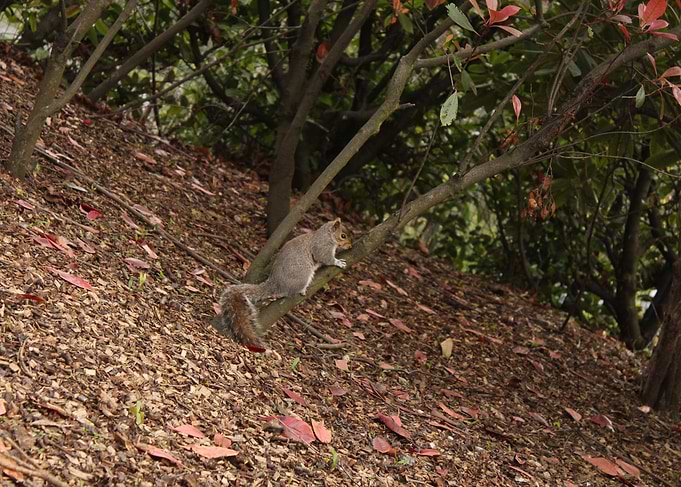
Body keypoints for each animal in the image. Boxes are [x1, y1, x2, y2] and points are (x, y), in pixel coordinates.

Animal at [214, 218, 352, 351]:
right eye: (343, 235)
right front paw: (338, 262)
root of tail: (275, 283)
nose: (350, 246)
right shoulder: (322, 247)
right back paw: (301, 290)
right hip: (303, 275)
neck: (327, 235)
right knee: (287, 291)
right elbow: (325, 258)